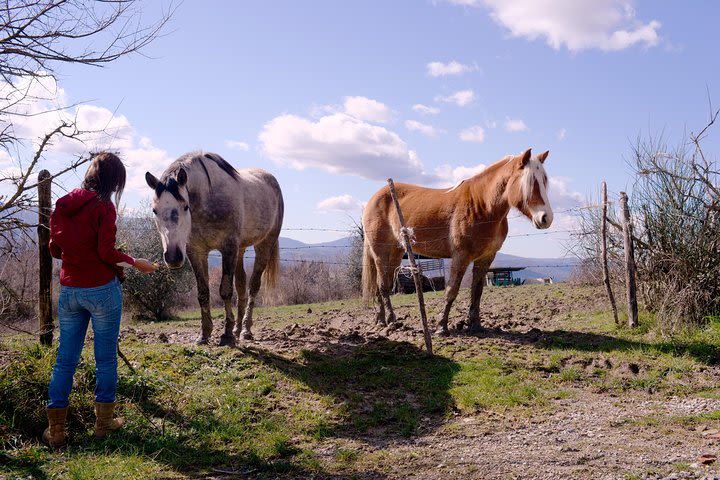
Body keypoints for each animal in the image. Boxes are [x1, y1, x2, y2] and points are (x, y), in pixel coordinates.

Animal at [362, 149, 556, 334]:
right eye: (531, 182)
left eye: (544, 181)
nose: (546, 218)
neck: (482, 206)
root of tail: (374, 198)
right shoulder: (460, 257)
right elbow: (451, 290)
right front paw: (442, 327)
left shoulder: (485, 258)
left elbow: (477, 291)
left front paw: (475, 325)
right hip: (381, 253)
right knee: (383, 285)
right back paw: (391, 321)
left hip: (395, 253)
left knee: (382, 285)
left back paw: (380, 320)